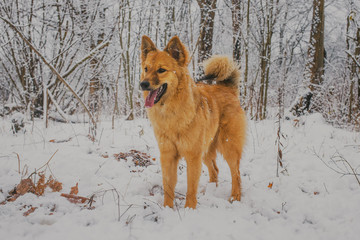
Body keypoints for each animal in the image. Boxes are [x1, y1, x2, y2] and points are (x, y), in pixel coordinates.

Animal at [139, 35, 246, 208]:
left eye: (161, 70)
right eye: (146, 69)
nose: (143, 84)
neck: (172, 112)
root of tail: (227, 88)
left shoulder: (193, 156)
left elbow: (191, 187)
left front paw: (190, 208)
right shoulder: (168, 155)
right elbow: (168, 185)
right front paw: (167, 208)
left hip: (229, 147)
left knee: (236, 173)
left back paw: (235, 197)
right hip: (206, 150)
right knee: (215, 170)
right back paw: (210, 190)